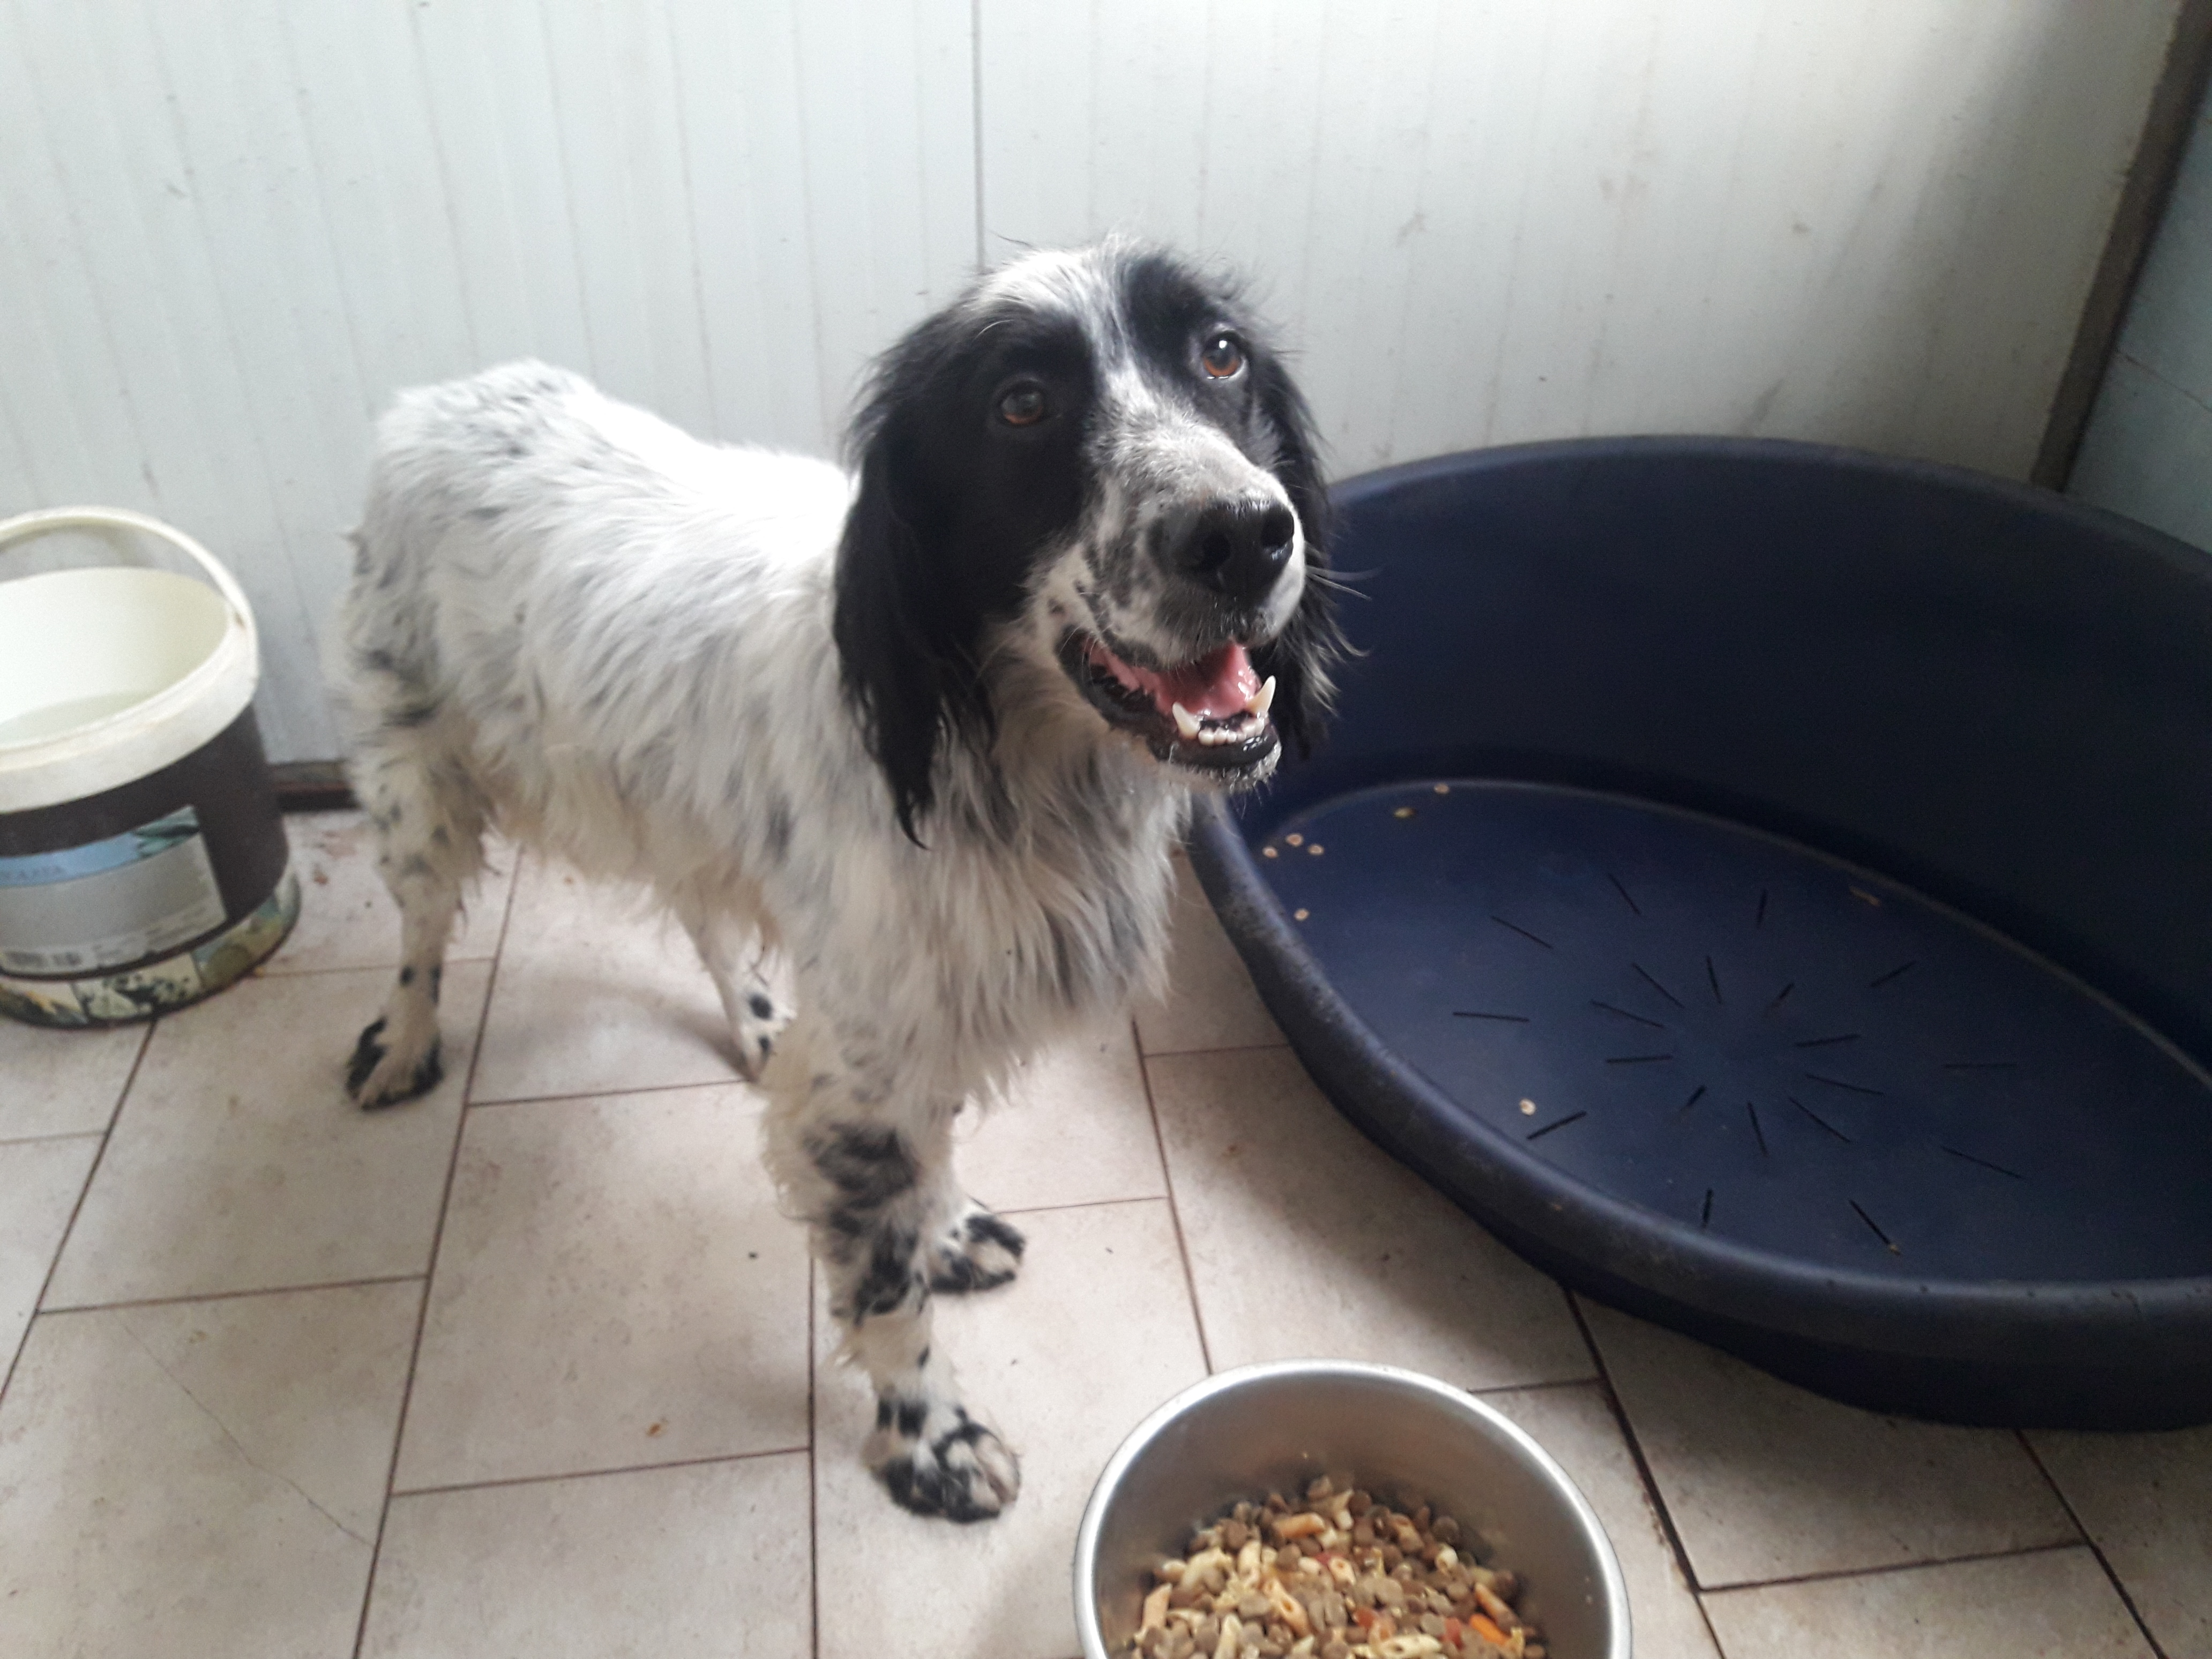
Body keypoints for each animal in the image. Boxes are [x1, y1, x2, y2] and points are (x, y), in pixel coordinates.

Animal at [331, 239, 1343, 1520]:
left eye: (1219, 354)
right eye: (1021, 403)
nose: (1246, 534)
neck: (1004, 754)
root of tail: (435, 401)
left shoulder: (915, 1016)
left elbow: (929, 1156)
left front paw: (947, 1226)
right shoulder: (864, 1067)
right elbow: (886, 1289)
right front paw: (930, 1439)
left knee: (704, 922)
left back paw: (756, 1021)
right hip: (417, 777)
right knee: (420, 937)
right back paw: (403, 1045)